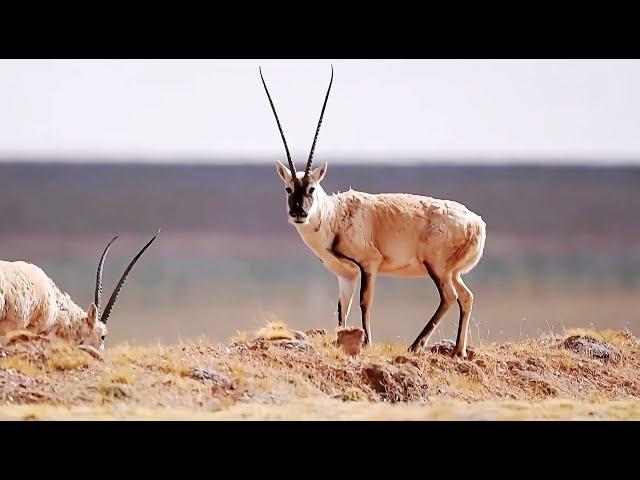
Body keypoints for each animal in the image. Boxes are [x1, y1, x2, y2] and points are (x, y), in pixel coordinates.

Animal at [260, 66, 484, 356]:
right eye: (289, 189)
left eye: (311, 188)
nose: (299, 212)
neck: (335, 215)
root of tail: (477, 223)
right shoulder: (345, 274)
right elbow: (342, 308)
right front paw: (342, 339)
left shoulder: (369, 264)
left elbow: (365, 302)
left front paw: (365, 341)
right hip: (451, 272)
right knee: (466, 297)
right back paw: (458, 350)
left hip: (437, 267)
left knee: (450, 297)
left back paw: (416, 345)